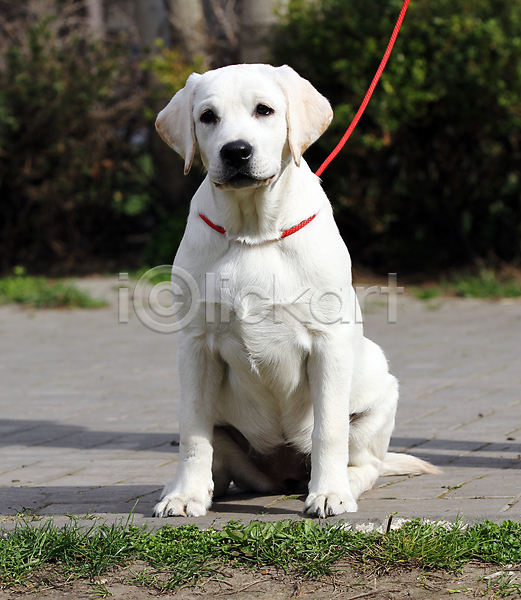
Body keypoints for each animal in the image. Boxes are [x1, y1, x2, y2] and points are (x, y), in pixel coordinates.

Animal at [151, 63, 438, 516]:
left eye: (264, 110)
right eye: (207, 116)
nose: (236, 152)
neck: (253, 232)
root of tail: (283, 475)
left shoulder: (328, 343)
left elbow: (329, 429)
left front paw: (329, 494)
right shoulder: (195, 345)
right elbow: (192, 431)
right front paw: (184, 496)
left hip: (380, 396)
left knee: (367, 463)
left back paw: (343, 485)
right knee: (219, 460)